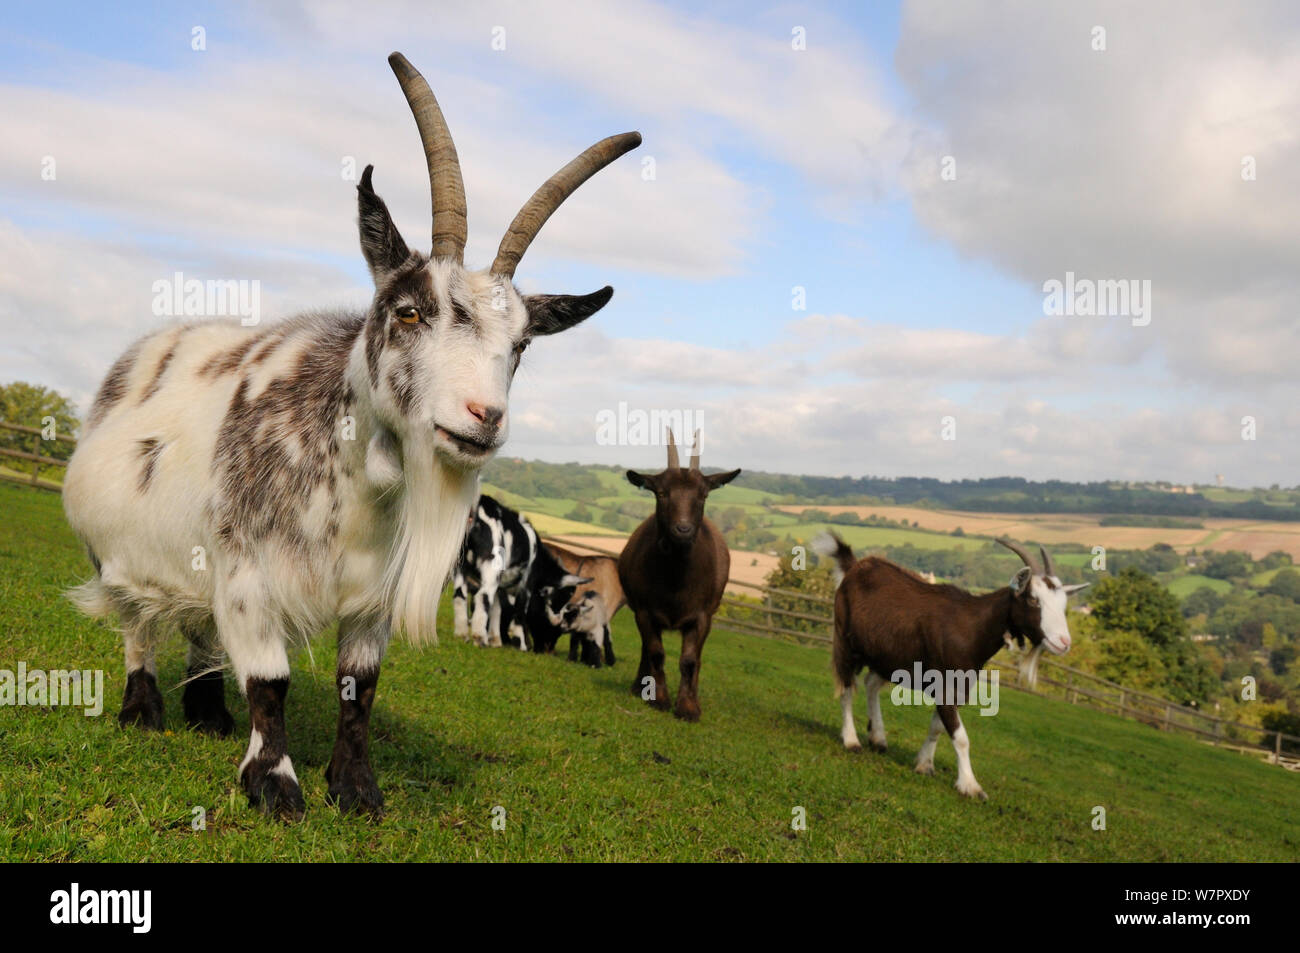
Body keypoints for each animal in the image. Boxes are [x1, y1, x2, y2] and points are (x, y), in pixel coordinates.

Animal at [61, 52, 639, 816]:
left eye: (520, 344)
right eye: (410, 310)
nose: (483, 416)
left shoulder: (369, 598)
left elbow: (359, 688)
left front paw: (357, 789)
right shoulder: (247, 575)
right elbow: (270, 681)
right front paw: (275, 786)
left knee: (198, 628)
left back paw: (209, 712)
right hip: (117, 552)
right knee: (137, 623)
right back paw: (144, 710)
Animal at [618, 426, 743, 717]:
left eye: (703, 495)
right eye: (662, 493)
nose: (683, 529)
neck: (676, 580)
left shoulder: (702, 616)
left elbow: (689, 659)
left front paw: (688, 706)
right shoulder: (644, 611)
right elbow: (655, 653)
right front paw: (660, 698)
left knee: (696, 657)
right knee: (646, 650)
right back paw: (640, 686)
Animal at [821, 530, 1086, 800]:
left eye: (1064, 605)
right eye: (1033, 600)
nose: (1063, 642)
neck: (972, 627)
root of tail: (855, 567)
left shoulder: (958, 688)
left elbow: (937, 727)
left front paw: (924, 765)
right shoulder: (945, 686)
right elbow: (960, 737)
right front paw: (971, 786)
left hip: (888, 656)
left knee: (870, 684)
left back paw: (878, 738)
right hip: (846, 641)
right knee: (846, 689)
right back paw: (852, 741)